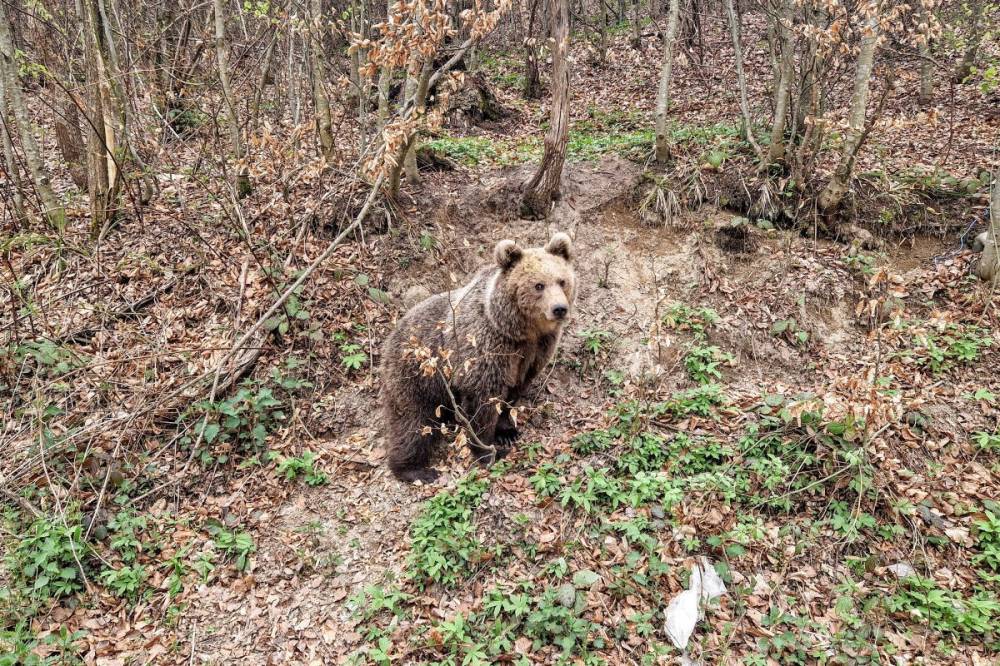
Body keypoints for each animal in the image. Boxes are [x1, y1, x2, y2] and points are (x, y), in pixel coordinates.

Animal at [378, 231, 580, 480]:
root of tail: (390, 336)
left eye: (562, 281)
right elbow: (482, 402)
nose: (559, 308)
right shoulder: (485, 349)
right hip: (417, 374)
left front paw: (507, 431)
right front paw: (487, 451)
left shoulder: (534, 352)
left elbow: (513, 392)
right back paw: (415, 469)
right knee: (413, 421)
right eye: (538, 285)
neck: (521, 331)